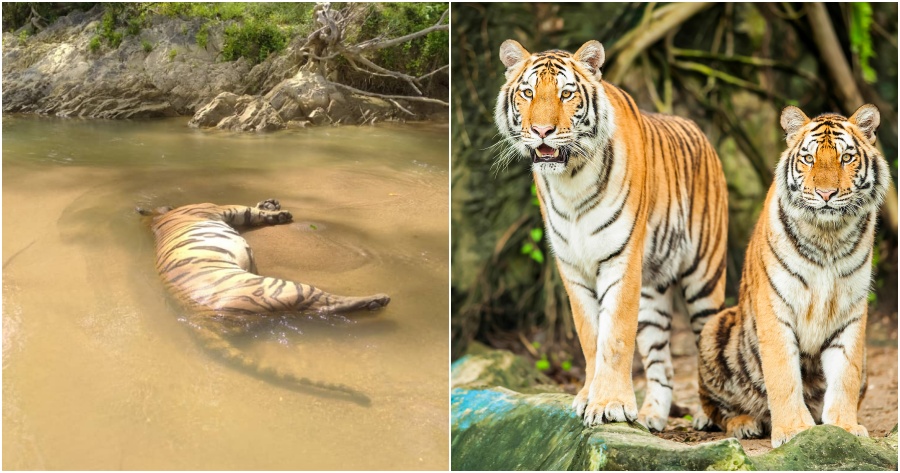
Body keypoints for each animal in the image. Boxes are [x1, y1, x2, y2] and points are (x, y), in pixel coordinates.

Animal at [139, 198, 390, 404]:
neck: (155, 218)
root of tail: (198, 320)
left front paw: (272, 207)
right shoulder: (219, 208)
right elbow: (248, 210)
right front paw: (277, 212)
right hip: (284, 287)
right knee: (328, 303)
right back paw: (378, 300)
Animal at [494, 39, 728, 431]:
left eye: (566, 93)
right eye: (527, 93)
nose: (541, 131)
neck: (569, 181)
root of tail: (697, 129)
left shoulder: (621, 261)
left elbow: (615, 336)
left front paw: (612, 405)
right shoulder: (572, 267)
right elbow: (590, 336)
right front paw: (588, 397)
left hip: (704, 279)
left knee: (707, 342)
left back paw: (711, 416)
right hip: (651, 295)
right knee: (662, 364)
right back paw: (651, 416)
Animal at [695, 104, 889, 447]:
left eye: (846, 158)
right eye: (808, 158)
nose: (826, 194)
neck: (828, 237)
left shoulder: (852, 311)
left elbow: (846, 374)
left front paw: (845, 426)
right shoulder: (775, 306)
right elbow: (783, 374)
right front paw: (794, 429)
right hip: (712, 330)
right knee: (716, 408)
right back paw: (745, 423)